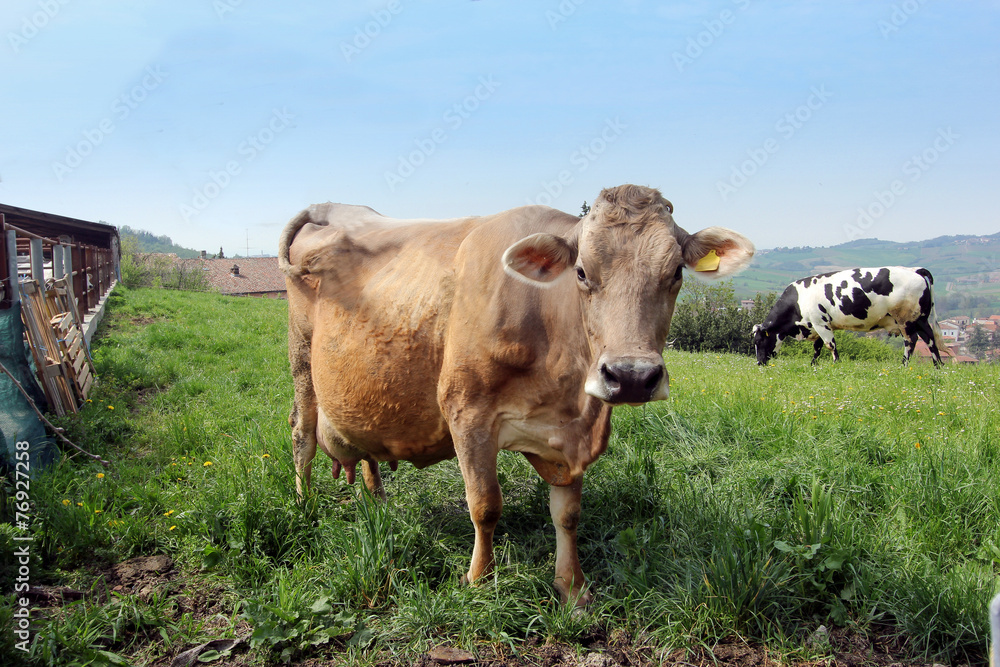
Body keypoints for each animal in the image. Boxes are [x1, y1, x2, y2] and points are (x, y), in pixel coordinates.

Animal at [278, 185, 754, 606]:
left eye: (675, 273)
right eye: (582, 272)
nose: (632, 376)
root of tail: (328, 207)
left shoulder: (568, 434)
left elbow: (567, 514)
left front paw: (573, 588)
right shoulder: (466, 414)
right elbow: (485, 505)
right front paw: (479, 579)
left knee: (367, 451)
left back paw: (378, 504)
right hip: (301, 356)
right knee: (301, 434)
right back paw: (303, 506)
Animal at [752, 267, 948, 366]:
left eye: (759, 341)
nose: (759, 363)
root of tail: (915, 270)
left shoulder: (820, 322)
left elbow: (830, 345)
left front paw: (836, 364)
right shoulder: (818, 325)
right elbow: (818, 348)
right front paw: (813, 365)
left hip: (905, 319)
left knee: (911, 341)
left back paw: (904, 365)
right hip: (920, 319)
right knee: (930, 338)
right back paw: (938, 365)